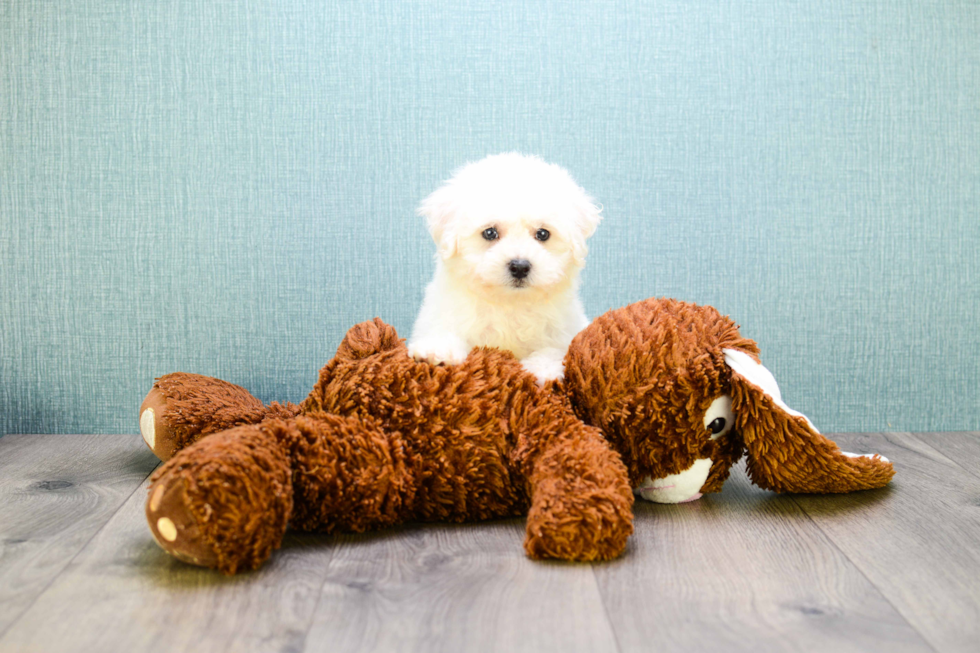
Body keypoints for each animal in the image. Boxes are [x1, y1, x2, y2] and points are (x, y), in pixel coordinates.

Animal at [404, 152, 596, 382]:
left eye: (543, 234)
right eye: (490, 233)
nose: (520, 266)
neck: (509, 304)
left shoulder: (567, 330)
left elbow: (554, 349)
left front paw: (543, 368)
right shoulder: (442, 314)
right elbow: (444, 330)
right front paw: (437, 350)